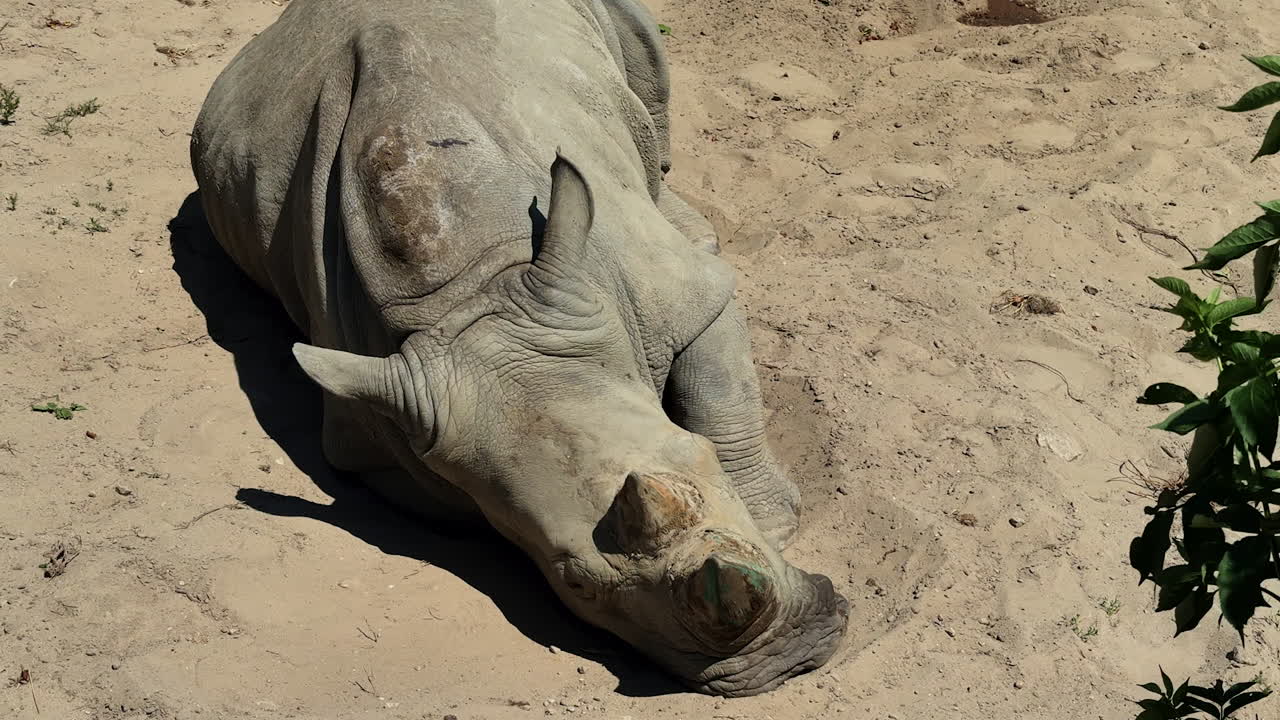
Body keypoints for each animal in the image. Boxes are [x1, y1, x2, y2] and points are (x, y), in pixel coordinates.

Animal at [190, 0, 848, 696]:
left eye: (700, 459)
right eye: (576, 583)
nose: (785, 663)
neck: (477, 297)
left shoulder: (672, 293)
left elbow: (721, 389)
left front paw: (775, 524)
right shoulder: (388, 429)